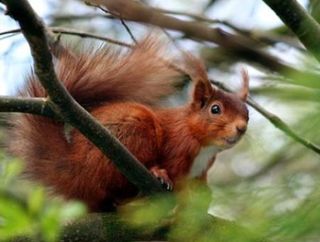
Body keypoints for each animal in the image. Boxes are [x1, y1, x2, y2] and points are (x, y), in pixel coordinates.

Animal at [9, 36, 250, 212]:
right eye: (215, 109)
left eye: (247, 113)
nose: (242, 128)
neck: (204, 144)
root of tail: (74, 170)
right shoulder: (177, 147)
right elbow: (177, 179)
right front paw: (182, 197)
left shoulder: (202, 170)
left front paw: (205, 195)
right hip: (130, 134)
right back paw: (155, 176)